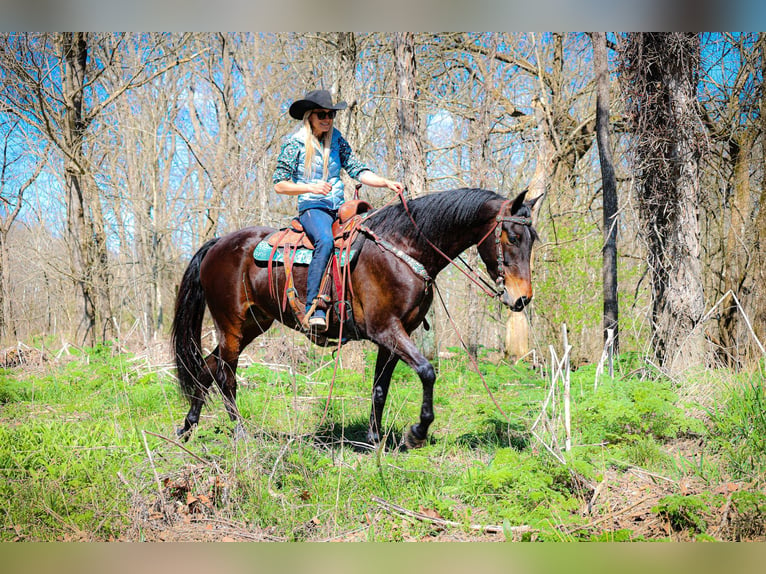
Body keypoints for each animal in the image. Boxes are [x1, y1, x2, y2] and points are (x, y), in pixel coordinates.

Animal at [171, 189, 540, 450]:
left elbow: (380, 388)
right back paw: (240, 433)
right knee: (226, 377)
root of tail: (218, 243)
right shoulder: (386, 330)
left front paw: (375, 440)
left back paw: (188, 427)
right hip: (230, 325)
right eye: (512, 237)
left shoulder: (393, 337)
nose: (522, 298)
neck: (405, 249)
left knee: (206, 368)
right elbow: (427, 372)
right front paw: (417, 432)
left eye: (532, 239)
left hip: (252, 325)